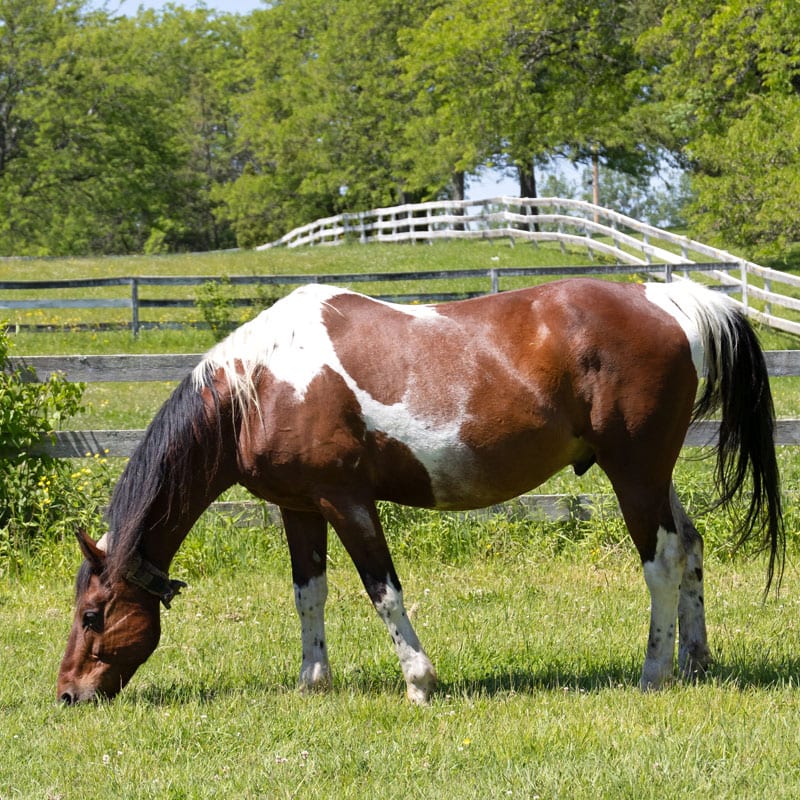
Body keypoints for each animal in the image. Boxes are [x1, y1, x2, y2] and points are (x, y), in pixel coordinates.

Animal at [57, 277, 784, 705]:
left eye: (93, 615)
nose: (68, 694)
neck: (260, 385)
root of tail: (671, 300)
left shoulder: (347, 502)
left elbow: (383, 591)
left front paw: (419, 681)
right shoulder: (300, 508)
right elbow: (308, 594)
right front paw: (313, 682)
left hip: (633, 472)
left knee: (661, 561)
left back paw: (655, 673)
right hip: (652, 476)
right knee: (690, 547)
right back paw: (696, 661)